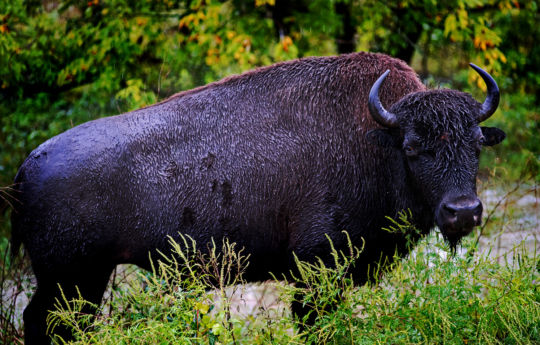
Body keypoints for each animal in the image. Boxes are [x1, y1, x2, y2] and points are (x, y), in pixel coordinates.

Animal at [10, 52, 504, 342]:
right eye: (414, 148)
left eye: (477, 144)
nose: (463, 212)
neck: (377, 140)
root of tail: (30, 162)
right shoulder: (316, 270)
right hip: (69, 278)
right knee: (42, 321)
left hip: (84, 280)